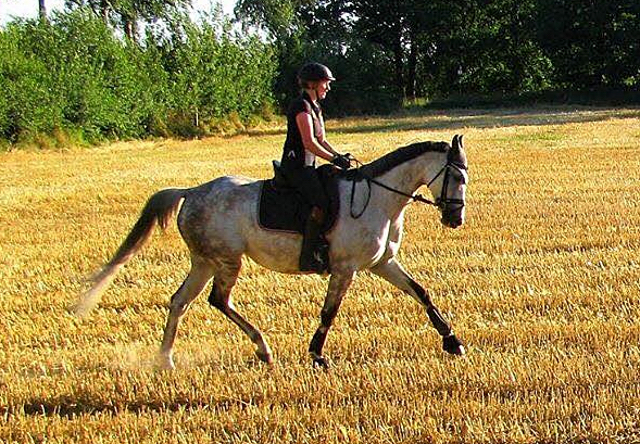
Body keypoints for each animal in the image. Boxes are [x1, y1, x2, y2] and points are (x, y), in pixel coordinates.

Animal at [75, 134, 470, 370]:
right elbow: (329, 312)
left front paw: (452, 341)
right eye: (457, 177)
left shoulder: (382, 262)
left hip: (204, 261)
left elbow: (421, 292)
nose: (455, 219)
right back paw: (262, 347)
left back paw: (166, 360)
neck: (379, 198)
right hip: (226, 260)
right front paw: (317, 355)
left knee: (180, 301)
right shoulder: (346, 268)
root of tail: (191, 191)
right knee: (218, 300)